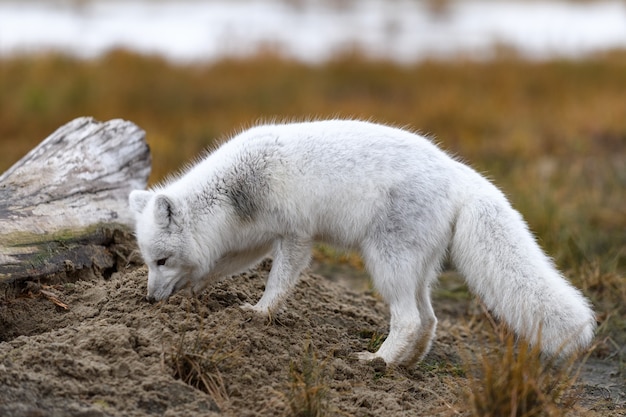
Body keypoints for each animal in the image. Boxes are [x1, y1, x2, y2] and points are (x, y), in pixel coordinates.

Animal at [129, 118, 592, 364]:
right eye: (150, 262)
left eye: (162, 260)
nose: (149, 300)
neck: (236, 190)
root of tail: (458, 172)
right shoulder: (254, 240)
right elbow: (220, 267)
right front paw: (197, 292)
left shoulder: (296, 236)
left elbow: (278, 283)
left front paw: (259, 313)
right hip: (415, 270)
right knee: (429, 319)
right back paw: (407, 364)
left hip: (386, 263)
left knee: (409, 319)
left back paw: (378, 362)